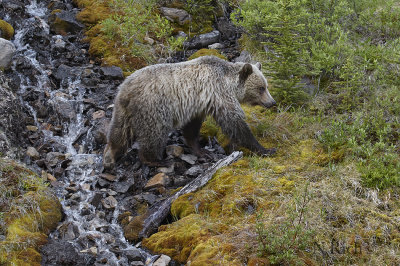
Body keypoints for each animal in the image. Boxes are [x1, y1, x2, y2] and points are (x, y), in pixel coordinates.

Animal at [104, 55, 276, 168]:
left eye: (266, 86)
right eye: (261, 88)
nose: (272, 102)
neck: (229, 81)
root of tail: (125, 90)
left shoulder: (197, 105)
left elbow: (191, 129)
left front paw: (202, 151)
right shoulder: (219, 93)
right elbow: (234, 122)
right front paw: (266, 149)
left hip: (123, 111)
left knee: (119, 133)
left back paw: (111, 154)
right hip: (153, 108)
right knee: (153, 134)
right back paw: (156, 160)